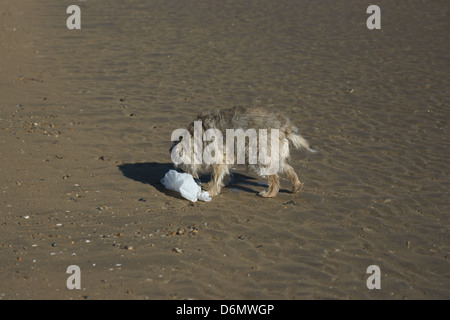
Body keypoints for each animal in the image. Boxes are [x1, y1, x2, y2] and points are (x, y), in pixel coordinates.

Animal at [170, 106, 316, 198]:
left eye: (182, 167)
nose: (191, 179)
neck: (194, 139)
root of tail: (284, 126)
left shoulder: (219, 158)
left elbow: (215, 177)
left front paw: (210, 192)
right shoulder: (227, 157)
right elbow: (223, 173)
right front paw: (224, 183)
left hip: (259, 156)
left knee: (274, 178)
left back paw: (269, 194)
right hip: (273, 155)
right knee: (289, 169)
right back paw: (296, 186)